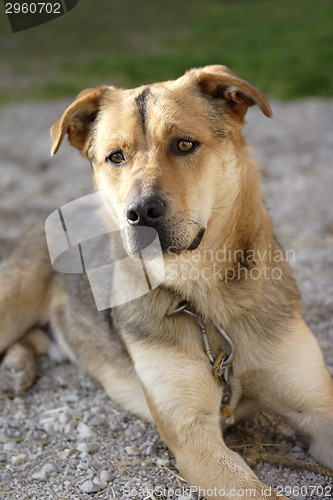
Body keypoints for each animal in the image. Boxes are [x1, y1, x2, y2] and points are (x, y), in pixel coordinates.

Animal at [0, 67, 332, 500]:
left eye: (184, 144)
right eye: (116, 156)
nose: (140, 212)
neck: (204, 297)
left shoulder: (317, 406)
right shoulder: (194, 436)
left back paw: (17, 368)